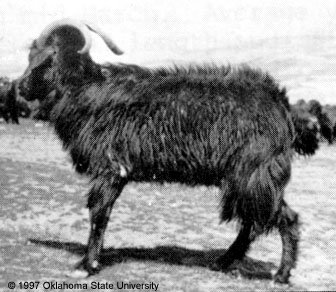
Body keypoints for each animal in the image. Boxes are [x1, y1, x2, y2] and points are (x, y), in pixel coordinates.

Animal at [18, 18, 308, 282]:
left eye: (45, 55)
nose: (20, 87)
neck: (86, 89)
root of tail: (280, 101)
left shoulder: (110, 169)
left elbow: (99, 214)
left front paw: (87, 265)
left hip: (253, 175)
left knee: (281, 219)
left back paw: (280, 274)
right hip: (250, 179)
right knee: (258, 221)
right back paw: (224, 262)